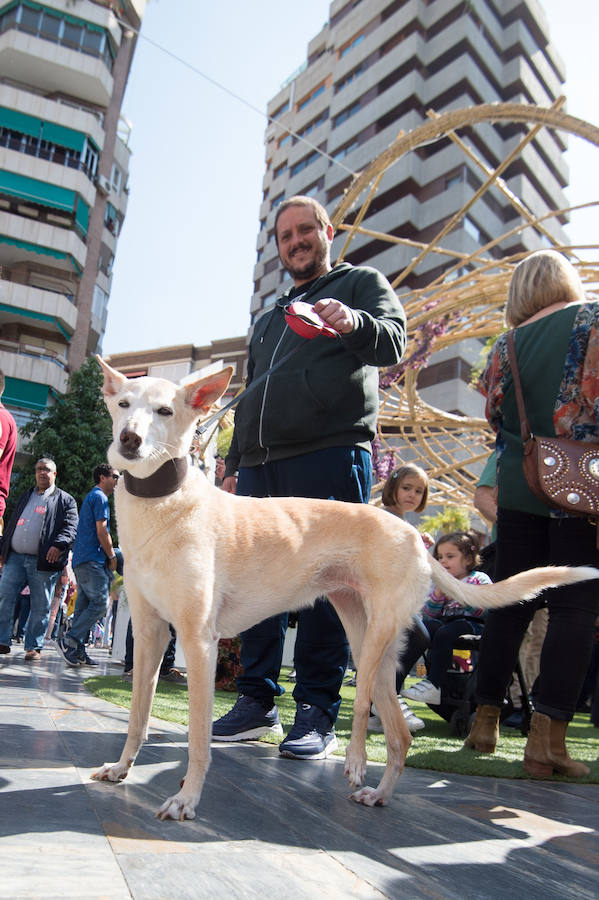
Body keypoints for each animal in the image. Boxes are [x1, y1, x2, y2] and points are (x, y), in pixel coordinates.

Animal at [92, 356, 599, 820]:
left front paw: (186, 799)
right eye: (123, 404)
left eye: (164, 411)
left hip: (371, 644)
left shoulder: (199, 641)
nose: (129, 440)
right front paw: (121, 769)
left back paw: (354, 763)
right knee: (399, 734)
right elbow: (137, 716)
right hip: (372, 642)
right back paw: (380, 794)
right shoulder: (152, 633)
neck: (165, 502)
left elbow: (197, 737)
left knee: (360, 713)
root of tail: (415, 537)